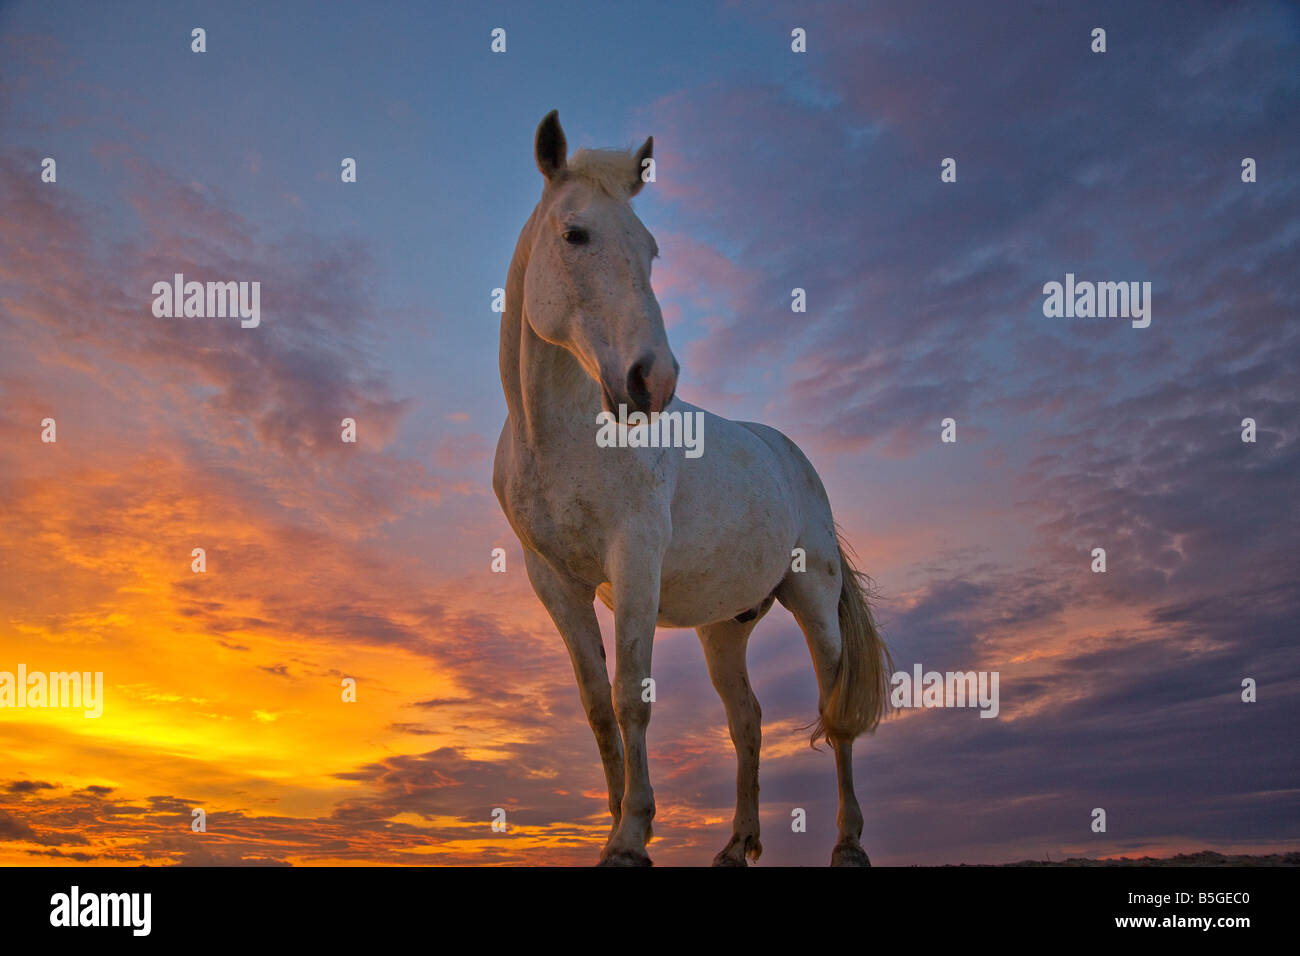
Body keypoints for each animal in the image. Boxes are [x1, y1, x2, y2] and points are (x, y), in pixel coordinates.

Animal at [488, 111, 894, 868]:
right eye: (574, 234)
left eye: (650, 251)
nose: (653, 380)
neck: (559, 435)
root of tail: (788, 454)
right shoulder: (553, 581)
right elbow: (597, 705)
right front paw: (616, 829)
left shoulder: (635, 562)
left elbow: (632, 696)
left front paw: (632, 836)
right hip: (722, 628)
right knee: (747, 720)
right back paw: (736, 845)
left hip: (813, 600)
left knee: (834, 712)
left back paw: (849, 844)